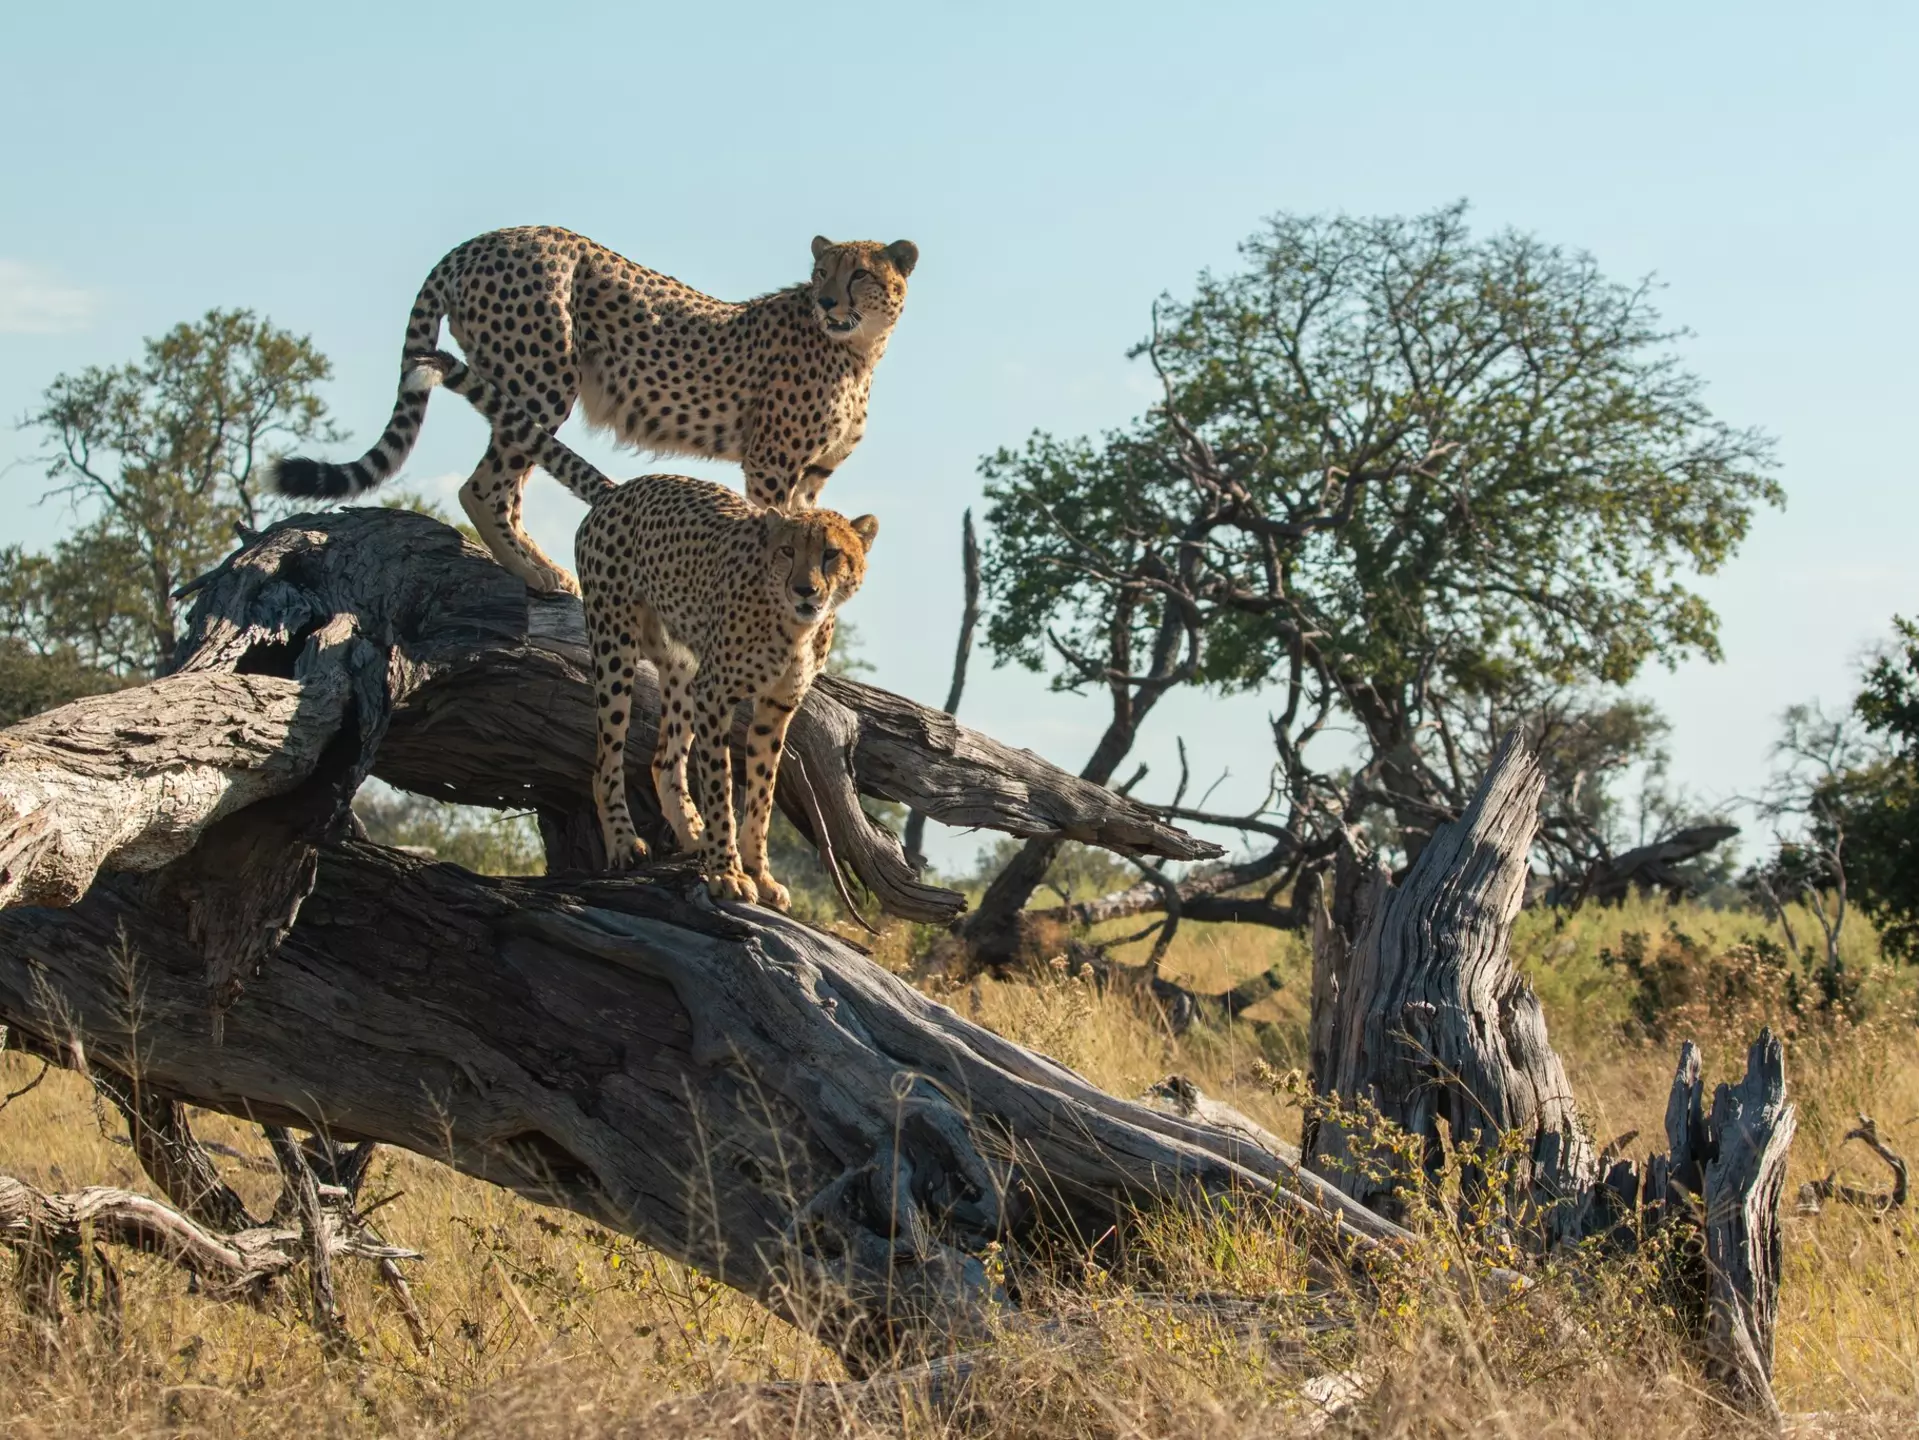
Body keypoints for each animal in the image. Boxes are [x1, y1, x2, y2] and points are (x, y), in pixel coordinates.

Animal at [264, 224, 915, 596]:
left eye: (859, 273)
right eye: (820, 272)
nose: (827, 300)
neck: (861, 349)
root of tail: (480, 240)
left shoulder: (811, 475)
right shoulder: (772, 462)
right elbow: (777, 535)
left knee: (506, 482)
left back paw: (536, 563)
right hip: (545, 378)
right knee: (483, 486)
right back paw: (536, 573)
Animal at [405, 350, 878, 910]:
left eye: (831, 555)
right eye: (787, 552)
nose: (806, 589)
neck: (795, 626)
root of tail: (624, 488)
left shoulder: (776, 704)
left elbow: (761, 794)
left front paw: (758, 873)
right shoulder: (716, 693)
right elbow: (723, 786)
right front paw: (727, 871)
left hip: (680, 666)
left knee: (664, 759)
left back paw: (689, 832)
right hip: (616, 646)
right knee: (606, 756)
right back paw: (624, 841)